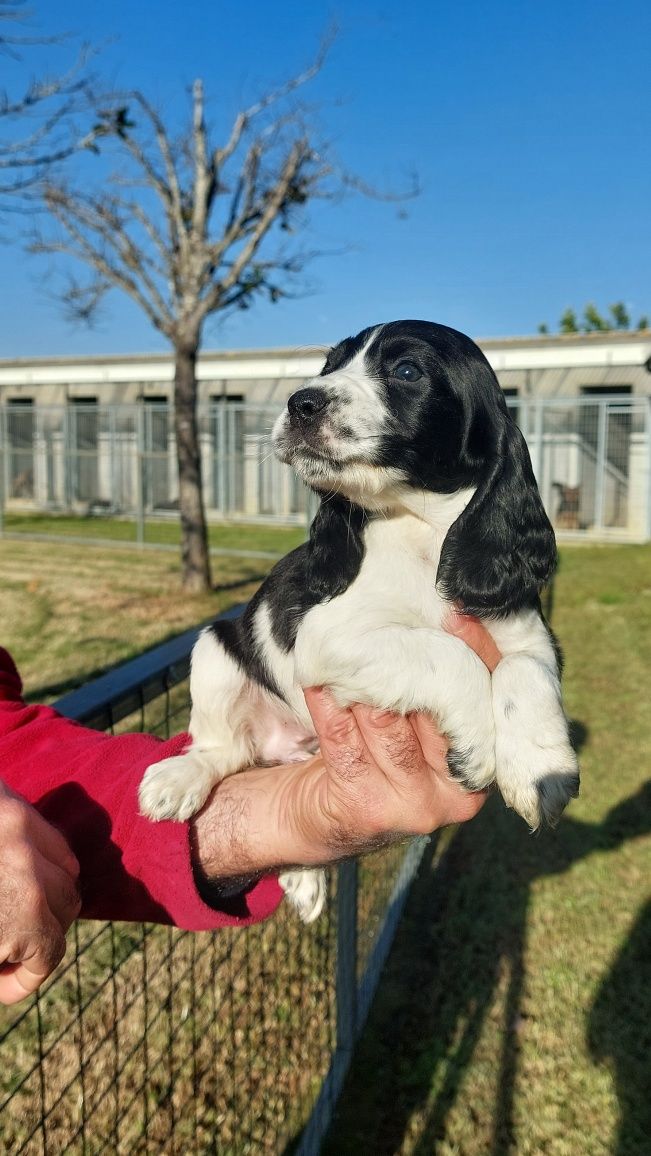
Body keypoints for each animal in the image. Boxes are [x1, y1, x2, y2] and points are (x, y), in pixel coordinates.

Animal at [138, 319, 580, 920]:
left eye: (407, 370)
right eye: (329, 367)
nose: (300, 402)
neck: (418, 530)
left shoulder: (528, 633)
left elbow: (523, 674)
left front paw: (539, 772)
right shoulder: (328, 636)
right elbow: (446, 653)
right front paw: (477, 746)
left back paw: (301, 877)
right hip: (213, 649)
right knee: (222, 750)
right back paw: (178, 779)